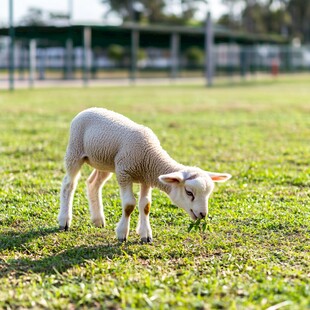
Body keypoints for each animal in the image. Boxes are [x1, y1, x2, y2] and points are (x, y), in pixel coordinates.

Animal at [58, 108, 230, 243]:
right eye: (189, 192)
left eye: (208, 194)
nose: (203, 214)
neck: (150, 156)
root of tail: (88, 109)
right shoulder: (124, 173)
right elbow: (129, 205)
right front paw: (122, 234)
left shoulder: (146, 178)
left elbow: (145, 205)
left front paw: (145, 234)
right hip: (75, 151)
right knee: (69, 184)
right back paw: (64, 221)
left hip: (104, 162)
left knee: (93, 184)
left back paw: (98, 220)